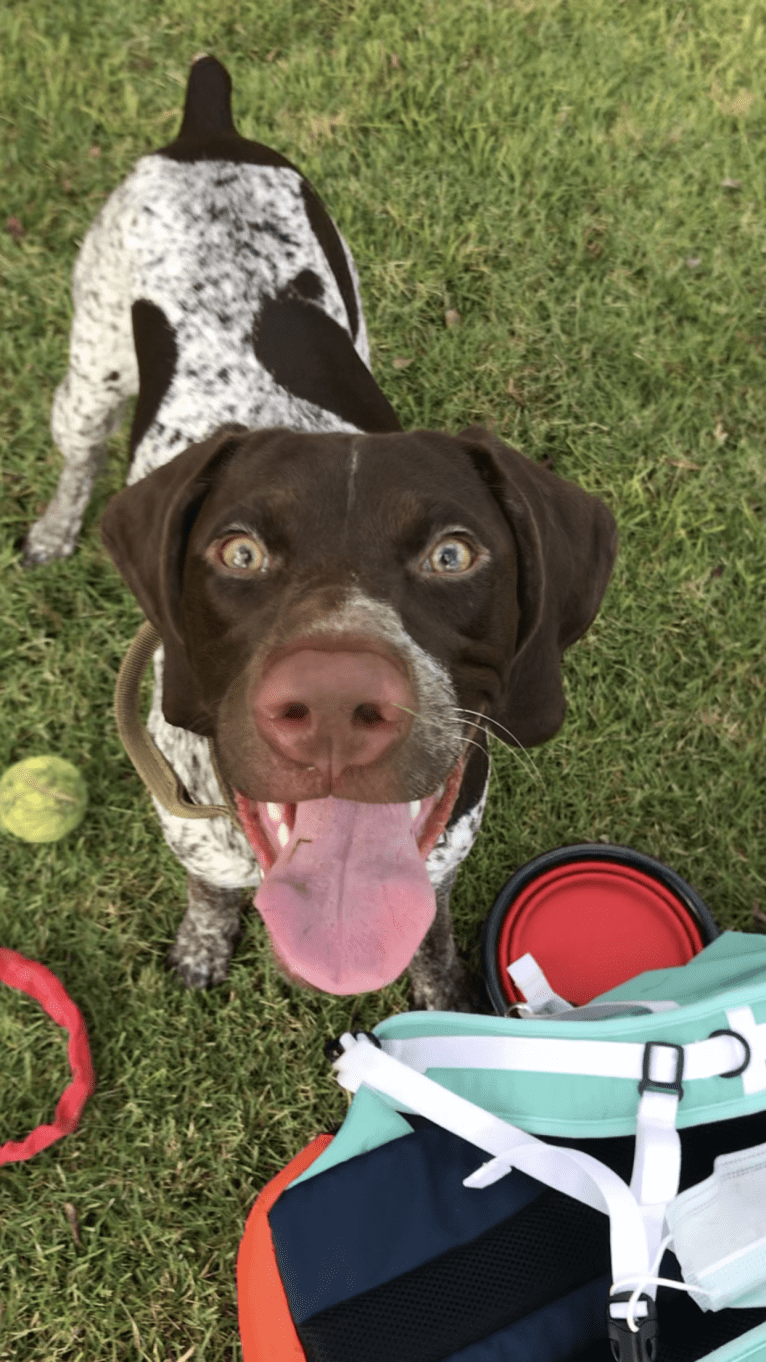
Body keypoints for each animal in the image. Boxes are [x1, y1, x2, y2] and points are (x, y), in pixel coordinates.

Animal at [23, 55, 613, 1013]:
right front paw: (204, 941)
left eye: (453, 554)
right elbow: (209, 891)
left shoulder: (442, 861)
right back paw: (53, 527)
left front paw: (444, 1000)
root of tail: (207, 125)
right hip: (89, 374)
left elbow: (432, 941)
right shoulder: (198, 837)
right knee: (80, 455)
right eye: (239, 552)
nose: (336, 703)